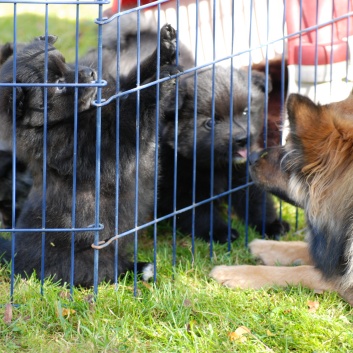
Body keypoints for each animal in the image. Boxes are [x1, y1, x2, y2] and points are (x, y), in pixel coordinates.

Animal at [158, 65, 288, 242]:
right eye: (211, 122)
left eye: (246, 112)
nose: (243, 139)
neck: (218, 167)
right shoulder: (181, 188)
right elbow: (200, 214)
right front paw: (220, 232)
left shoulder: (243, 176)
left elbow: (258, 202)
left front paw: (271, 224)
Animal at [209, 92, 353, 304]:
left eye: (289, 151)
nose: (251, 156)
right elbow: (304, 248)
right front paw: (266, 246)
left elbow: (302, 271)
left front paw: (238, 273)